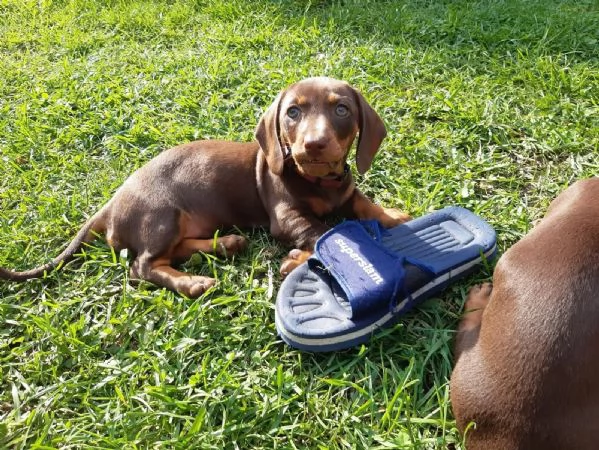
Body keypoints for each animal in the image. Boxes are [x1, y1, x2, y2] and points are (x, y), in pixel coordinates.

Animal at [0, 77, 410, 298]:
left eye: (342, 110)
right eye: (293, 112)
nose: (313, 145)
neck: (320, 182)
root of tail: (110, 205)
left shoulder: (346, 189)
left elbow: (362, 203)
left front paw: (390, 215)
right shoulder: (288, 218)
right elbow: (327, 230)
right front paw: (299, 258)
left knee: (173, 252)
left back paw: (224, 245)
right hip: (162, 214)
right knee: (143, 266)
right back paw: (193, 282)